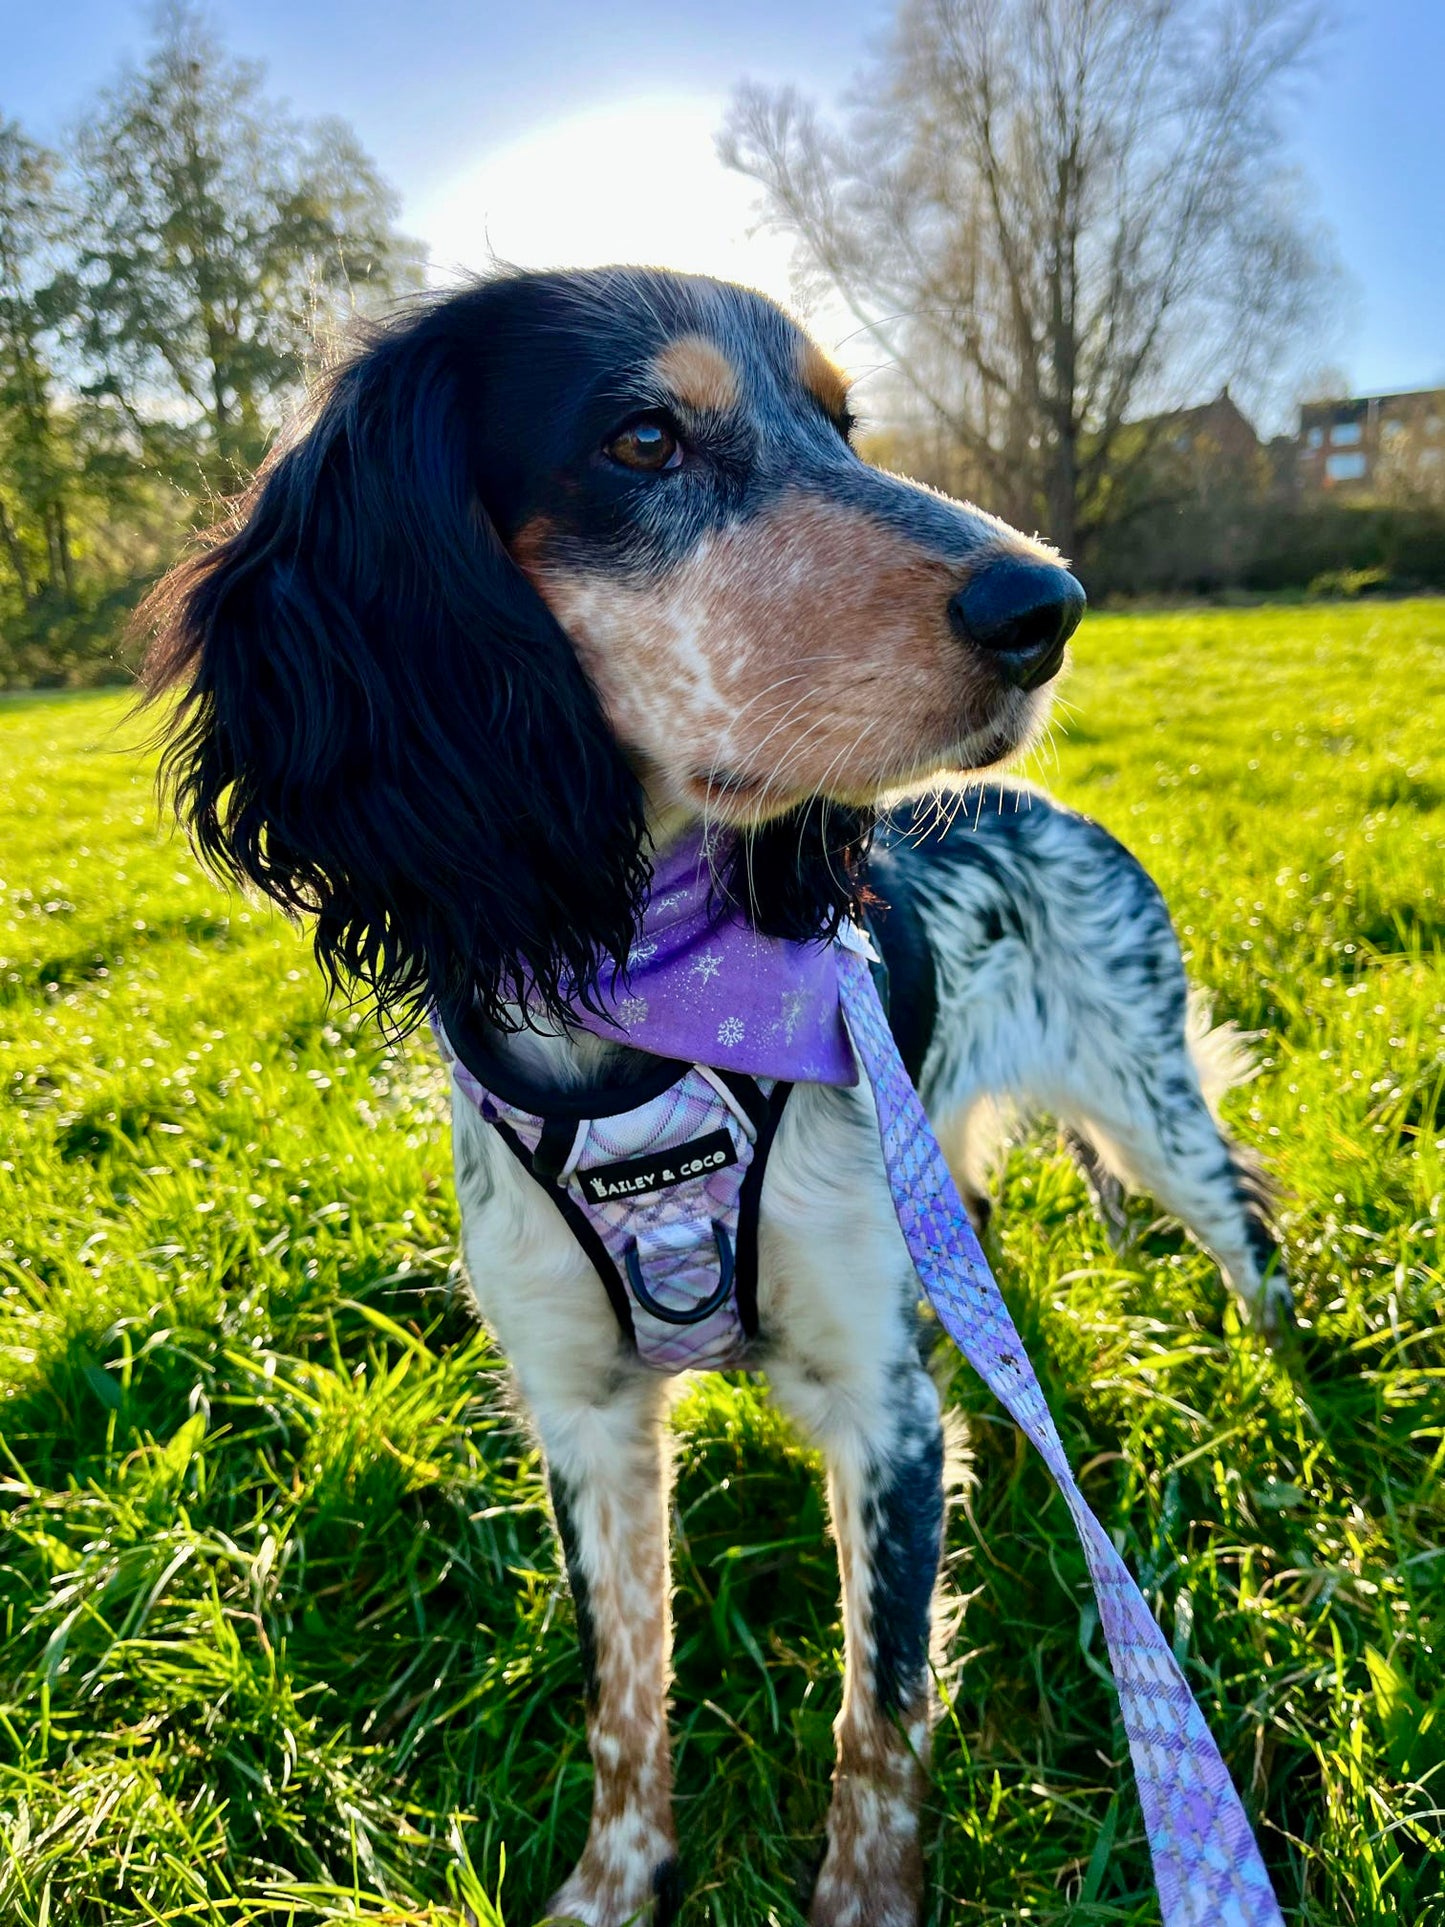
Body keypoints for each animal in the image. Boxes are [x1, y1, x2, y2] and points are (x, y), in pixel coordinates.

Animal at [144, 271, 1287, 1927]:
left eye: (842, 422)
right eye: (641, 438)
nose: (1048, 607)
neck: (642, 1019)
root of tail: (1056, 808)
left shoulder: (882, 1402)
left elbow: (882, 1711)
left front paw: (864, 1895)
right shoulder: (581, 1410)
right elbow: (624, 1696)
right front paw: (614, 1885)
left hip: (1149, 1103)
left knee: (1244, 1226)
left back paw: (1294, 1395)